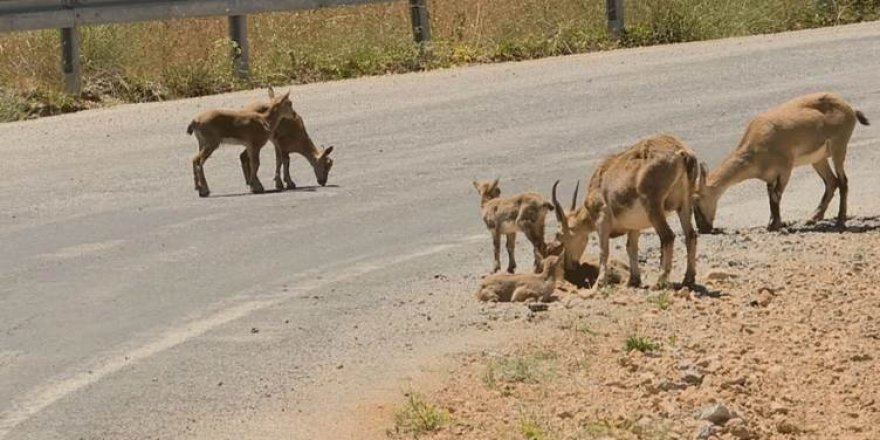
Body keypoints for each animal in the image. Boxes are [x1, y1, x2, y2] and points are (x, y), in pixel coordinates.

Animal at [552, 136, 704, 290]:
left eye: (560, 236)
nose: (568, 267)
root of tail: (682, 153)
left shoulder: (602, 218)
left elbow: (604, 250)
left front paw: (599, 283)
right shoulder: (634, 226)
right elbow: (631, 247)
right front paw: (633, 280)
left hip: (653, 206)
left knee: (668, 237)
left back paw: (659, 281)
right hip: (684, 203)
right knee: (690, 235)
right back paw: (688, 279)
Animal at [696, 91, 872, 232]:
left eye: (696, 200)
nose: (703, 228)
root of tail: (850, 108)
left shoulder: (786, 168)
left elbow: (776, 196)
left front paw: (776, 225)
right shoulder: (770, 176)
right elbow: (770, 197)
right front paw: (771, 223)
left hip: (838, 146)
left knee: (843, 181)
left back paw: (840, 220)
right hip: (818, 159)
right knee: (831, 181)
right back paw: (813, 218)